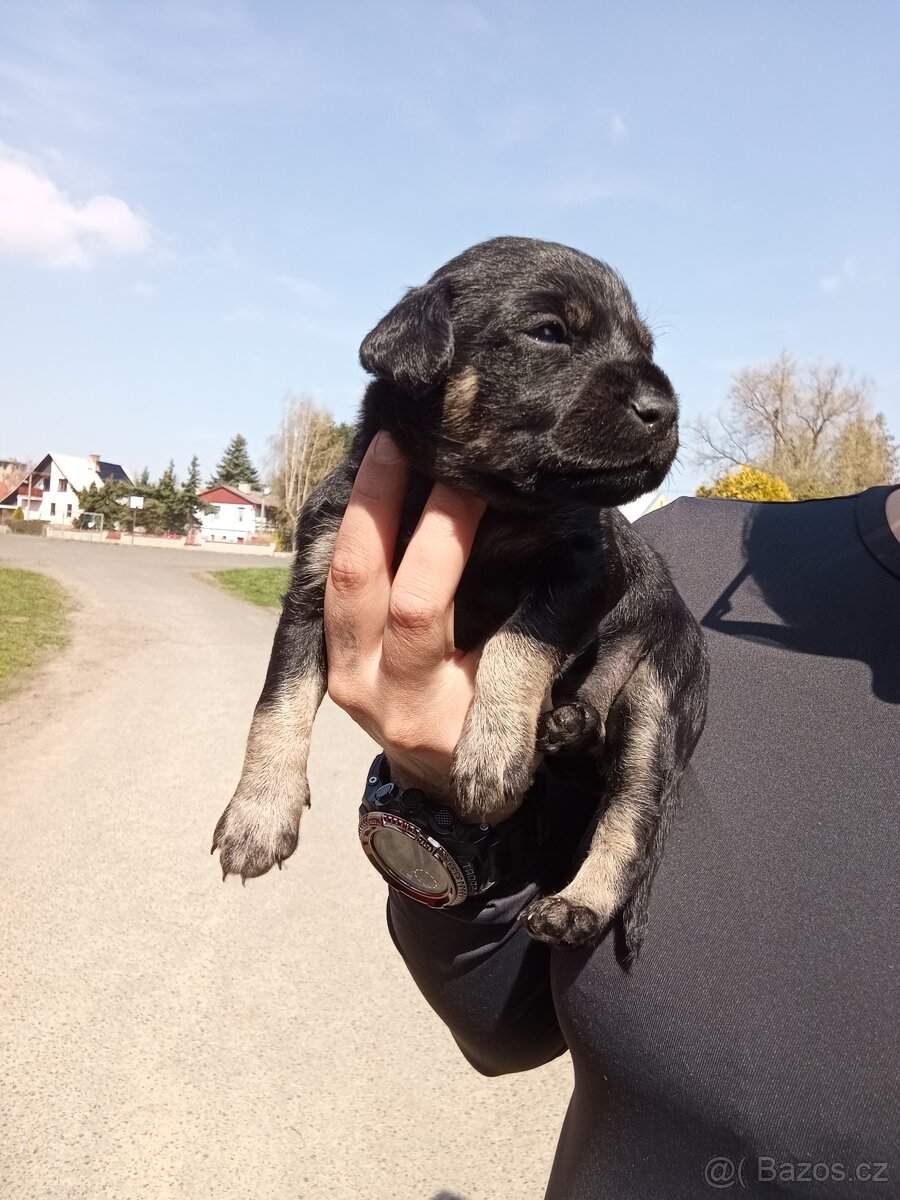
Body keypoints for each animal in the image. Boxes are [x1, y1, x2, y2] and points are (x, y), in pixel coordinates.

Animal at [212, 236, 709, 957]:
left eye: (644, 347)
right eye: (550, 333)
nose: (664, 411)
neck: (478, 496)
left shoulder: (588, 569)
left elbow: (518, 637)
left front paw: (492, 750)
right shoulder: (312, 591)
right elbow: (276, 706)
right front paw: (257, 814)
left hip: (656, 702)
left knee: (632, 818)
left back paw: (578, 905)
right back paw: (565, 724)